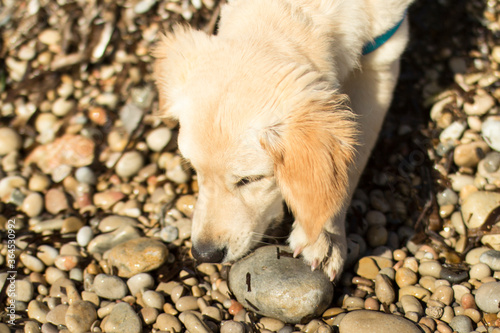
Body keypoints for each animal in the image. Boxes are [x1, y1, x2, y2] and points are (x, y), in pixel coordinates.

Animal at [154, 0, 416, 280]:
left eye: (250, 179)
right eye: (194, 169)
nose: (204, 255)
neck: (297, 7)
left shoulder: (382, 58)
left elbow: (348, 169)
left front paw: (325, 235)